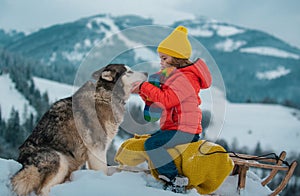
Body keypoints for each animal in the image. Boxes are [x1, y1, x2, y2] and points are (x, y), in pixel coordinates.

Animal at [11, 63, 147, 195]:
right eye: (129, 72)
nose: (146, 73)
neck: (105, 95)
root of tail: (22, 162)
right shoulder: (97, 147)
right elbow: (103, 170)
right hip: (60, 160)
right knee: (42, 190)